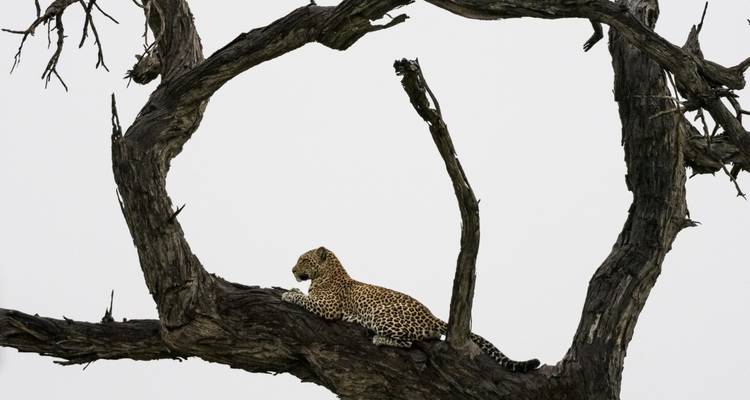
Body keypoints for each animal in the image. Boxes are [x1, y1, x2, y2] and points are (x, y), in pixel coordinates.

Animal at [281, 246, 540, 373]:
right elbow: (304, 295)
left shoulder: (329, 307)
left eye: (303, 260)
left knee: (408, 342)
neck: (324, 275)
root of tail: (433, 316)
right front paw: (291, 289)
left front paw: (288, 294)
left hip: (381, 314)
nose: (292, 270)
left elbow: (304, 299)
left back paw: (379, 339)